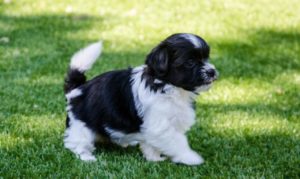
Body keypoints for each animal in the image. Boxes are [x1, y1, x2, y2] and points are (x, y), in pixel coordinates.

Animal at [63, 33, 218, 165]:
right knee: (77, 142)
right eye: (190, 62)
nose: (212, 71)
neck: (168, 86)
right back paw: (86, 156)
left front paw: (154, 158)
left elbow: (152, 143)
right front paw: (190, 157)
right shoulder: (160, 124)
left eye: (206, 58)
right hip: (81, 125)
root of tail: (77, 89)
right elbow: (177, 141)